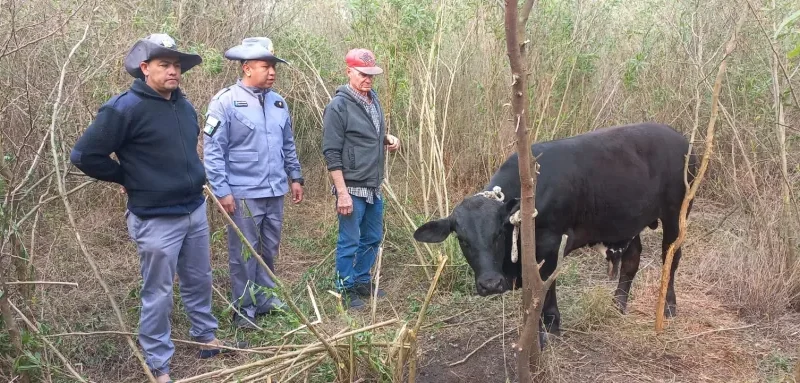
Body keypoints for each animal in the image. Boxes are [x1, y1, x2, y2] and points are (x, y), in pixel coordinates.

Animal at [416, 124, 696, 346]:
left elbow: (544, 291)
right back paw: (617, 305)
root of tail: (678, 136)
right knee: (632, 258)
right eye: (462, 239)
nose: (490, 284)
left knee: (671, 257)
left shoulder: (550, 246)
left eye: (498, 233)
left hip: (676, 213)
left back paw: (668, 306)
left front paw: (546, 331)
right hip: (627, 221)